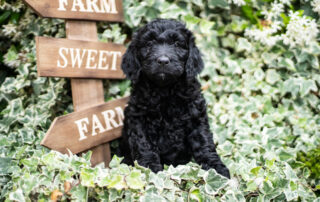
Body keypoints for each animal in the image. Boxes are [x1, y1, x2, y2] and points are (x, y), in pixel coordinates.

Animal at [120, 18, 230, 178]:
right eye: (149, 44)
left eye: (177, 44)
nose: (163, 60)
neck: (166, 90)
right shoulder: (138, 118)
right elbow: (144, 145)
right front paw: (150, 170)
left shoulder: (196, 117)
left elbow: (204, 143)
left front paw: (216, 169)